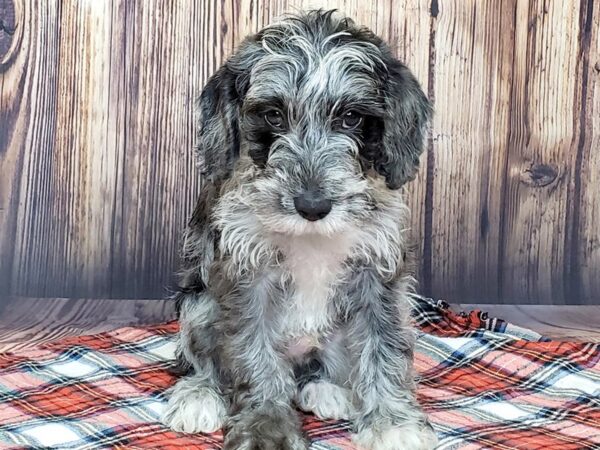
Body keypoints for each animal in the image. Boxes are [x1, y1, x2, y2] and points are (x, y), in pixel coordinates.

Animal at [162, 7, 438, 450]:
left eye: (351, 117)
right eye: (273, 115)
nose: (312, 206)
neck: (310, 239)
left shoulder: (377, 275)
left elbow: (384, 347)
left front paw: (393, 424)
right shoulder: (246, 276)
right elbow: (254, 356)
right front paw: (266, 427)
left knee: (317, 369)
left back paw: (327, 391)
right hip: (198, 307)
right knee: (201, 361)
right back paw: (198, 396)